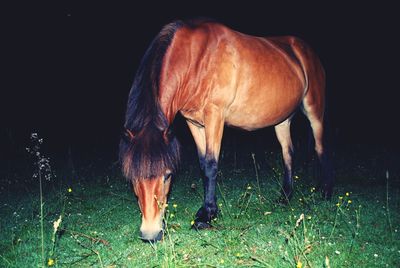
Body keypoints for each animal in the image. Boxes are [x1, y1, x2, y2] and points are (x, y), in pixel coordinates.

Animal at [120, 18, 332, 241]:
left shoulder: (215, 115)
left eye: (168, 175)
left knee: (320, 147)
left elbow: (211, 165)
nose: (150, 234)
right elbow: (203, 163)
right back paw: (285, 196)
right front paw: (208, 211)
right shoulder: (194, 123)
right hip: (282, 120)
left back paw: (326, 191)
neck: (196, 60)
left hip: (314, 111)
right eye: (132, 177)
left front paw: (206, 216)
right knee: (288, 153)